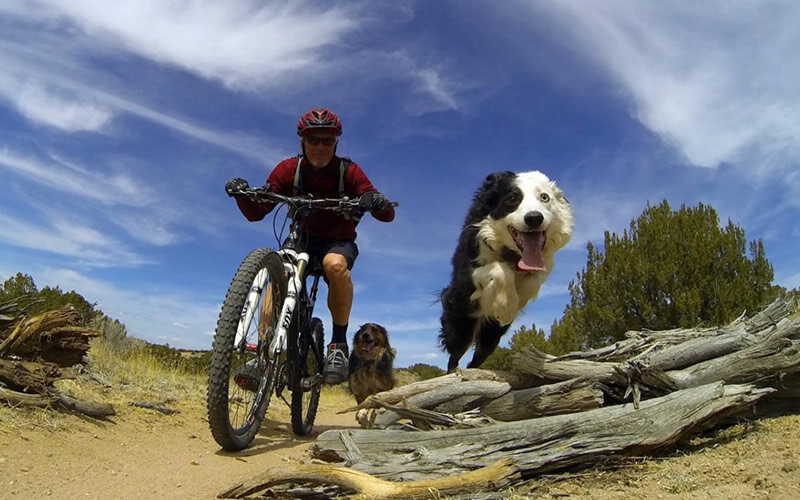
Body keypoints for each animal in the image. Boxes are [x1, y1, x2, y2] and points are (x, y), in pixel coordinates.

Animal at [438, 171, 576, 372]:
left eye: (544, 197)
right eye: (512, 199)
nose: (534, 218)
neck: (512, 253)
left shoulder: (542, 265)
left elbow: (534, 278)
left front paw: (520, 298)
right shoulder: (465, 276)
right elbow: (500, 269)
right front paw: (505, 307)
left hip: (491, 336)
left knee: (477, 358)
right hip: (462, 325)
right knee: (454, 356)